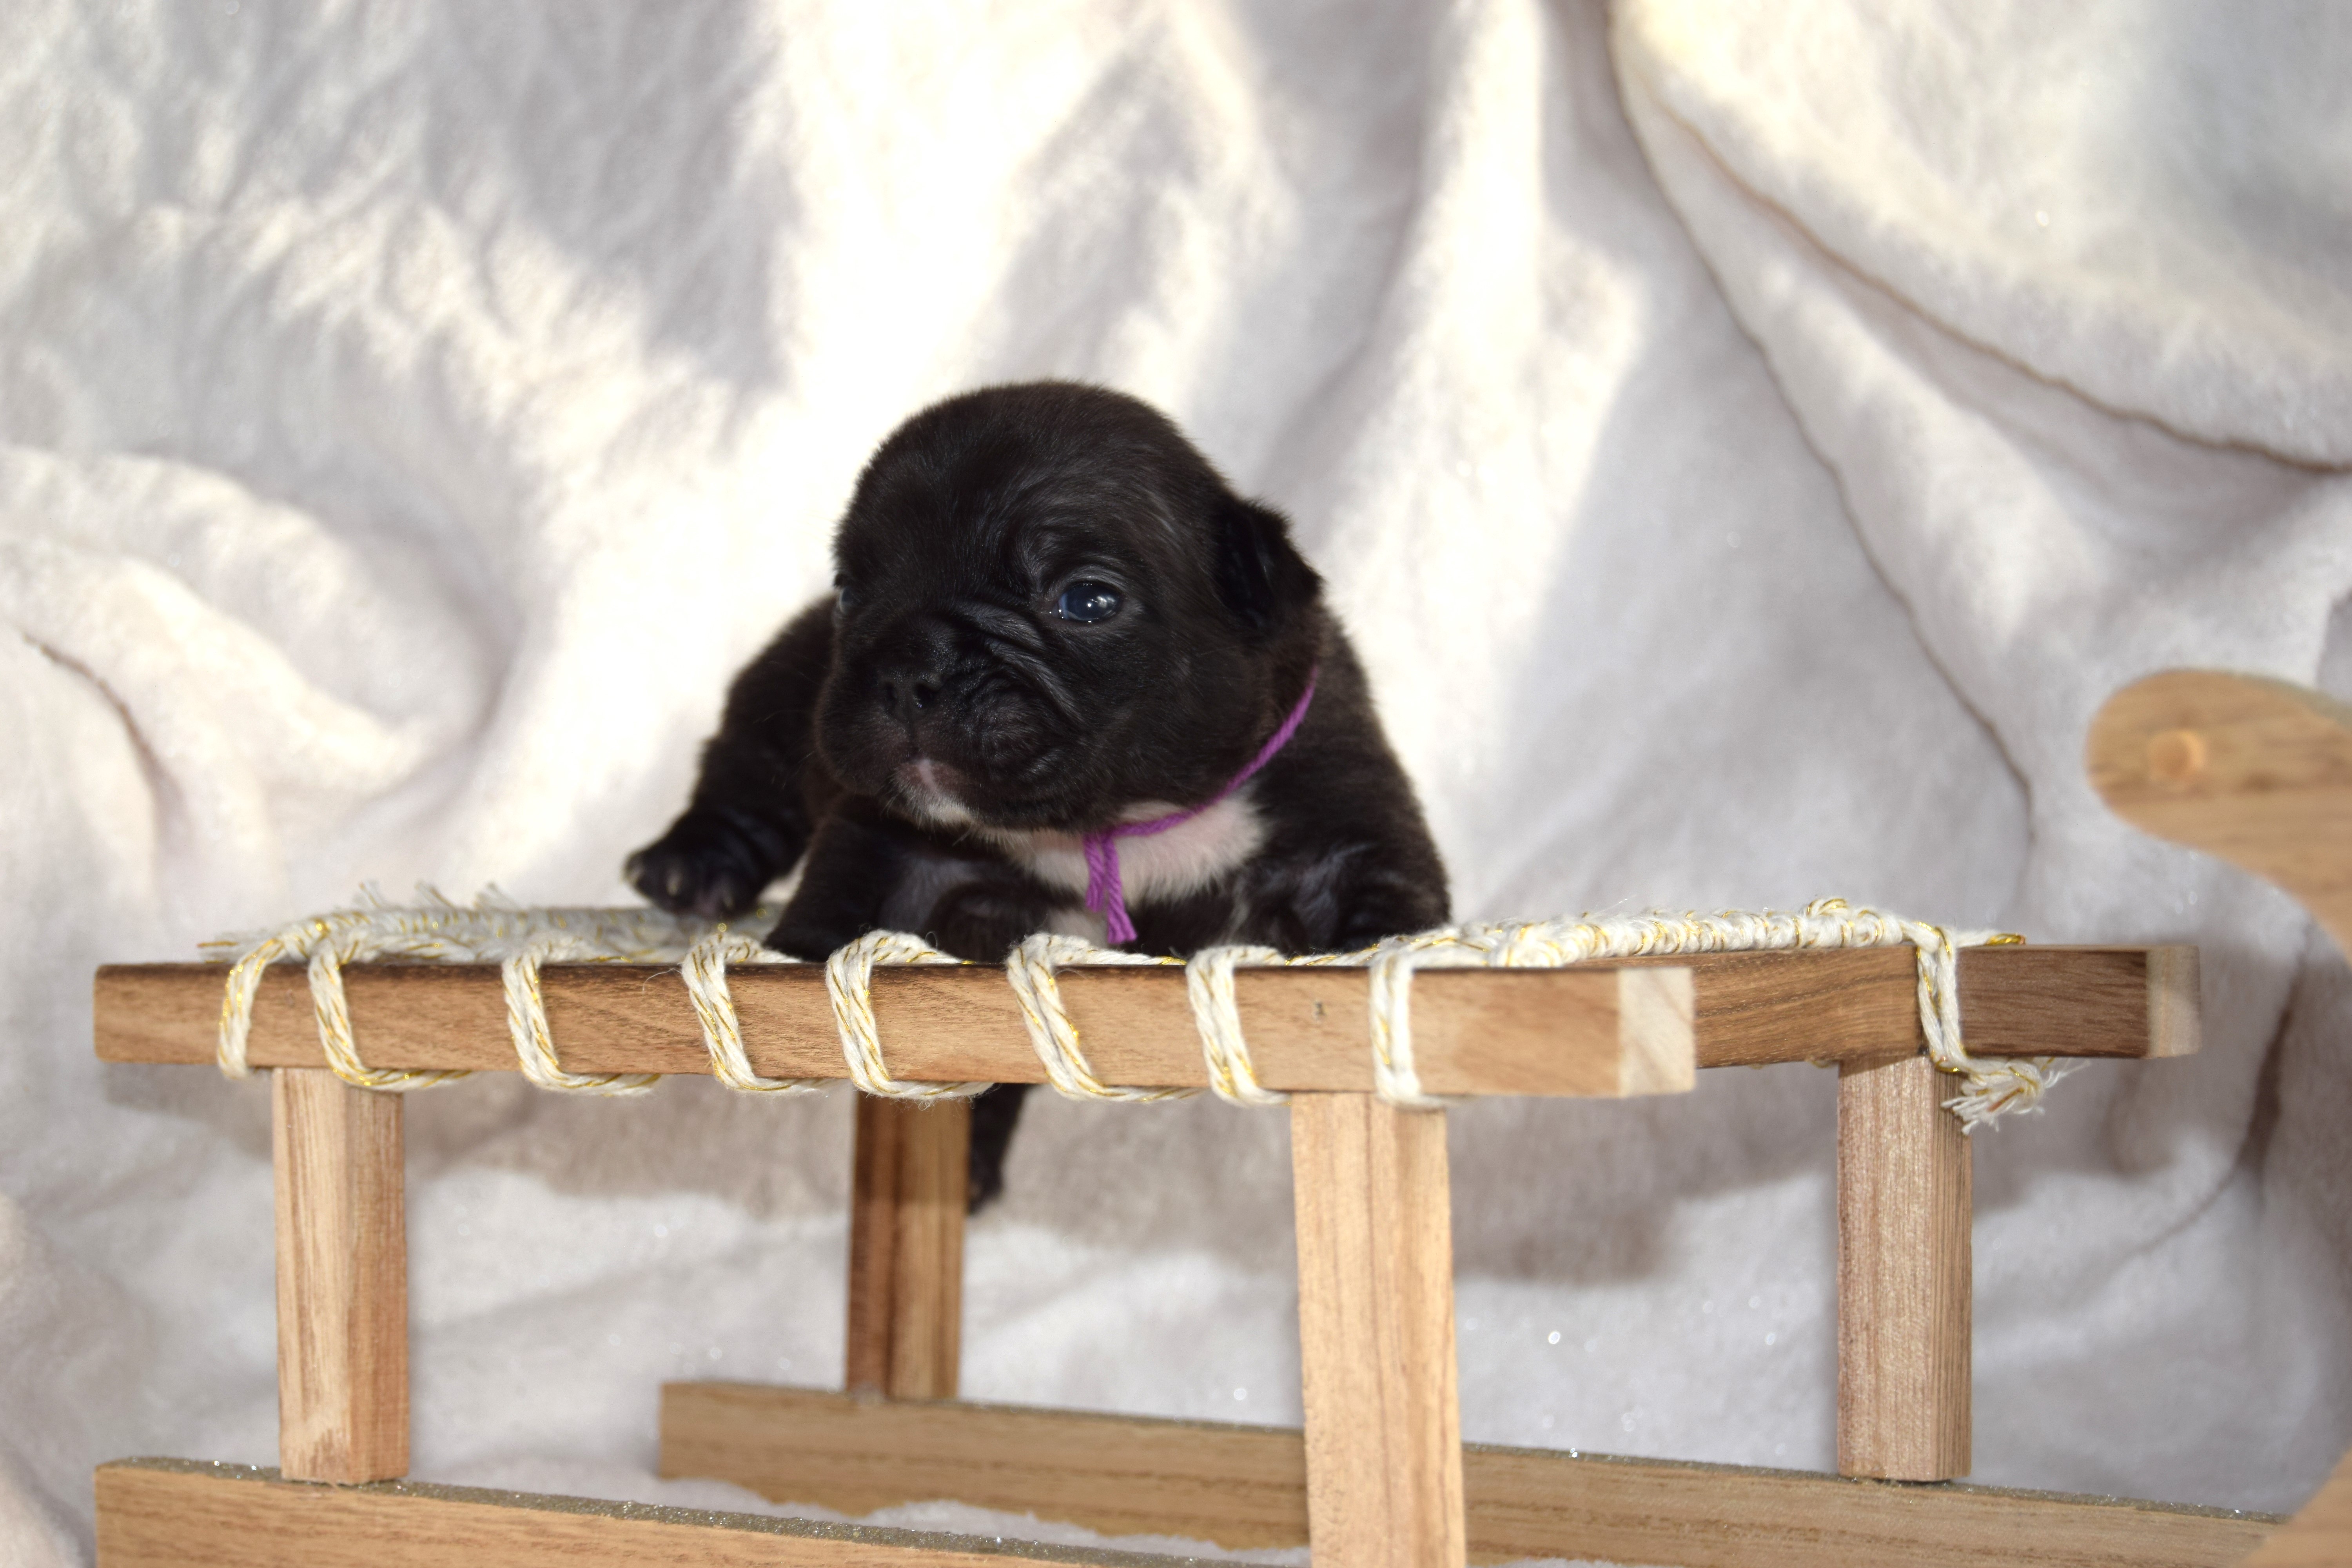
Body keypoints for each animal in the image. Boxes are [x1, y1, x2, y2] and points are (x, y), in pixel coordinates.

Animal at [635, 383, 1458, 1213]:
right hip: (780, 697)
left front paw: (1383, 968)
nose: (906, 664)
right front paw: (791, 965)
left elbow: (1383, 896)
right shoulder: (889, 835)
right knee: (742, 779)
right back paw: (690, 867)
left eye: (1088, 600)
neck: (1109, 826)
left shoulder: (1334, 820)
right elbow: (841, 892)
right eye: (849, 592)